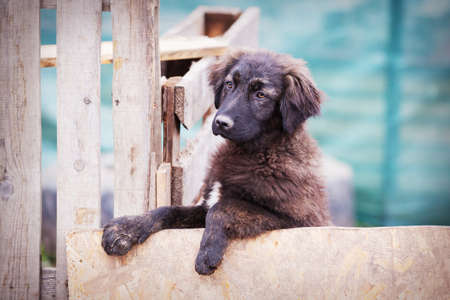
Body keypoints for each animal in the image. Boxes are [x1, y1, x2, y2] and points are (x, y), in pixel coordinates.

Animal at [101, 48, 330, 274]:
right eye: (229, 84)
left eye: (260, 95)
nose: (221, 122)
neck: (254, 152)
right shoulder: (204, 203)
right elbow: (169, 210)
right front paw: (126, 228)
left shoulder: (293, 220)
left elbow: (223, 208)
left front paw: (208, 252)